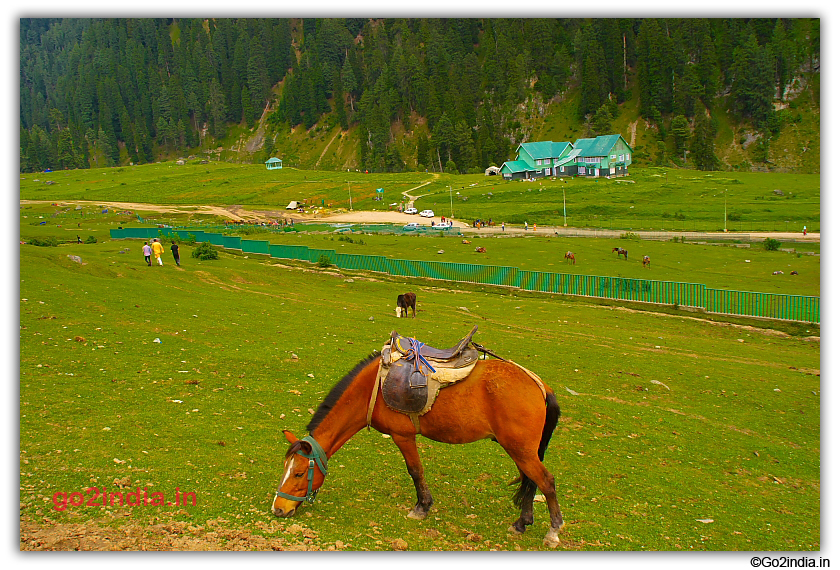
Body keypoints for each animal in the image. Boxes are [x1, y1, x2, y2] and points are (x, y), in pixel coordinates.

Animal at [272, 348, 564, 544]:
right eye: (284, 469)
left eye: (299, 473)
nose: (278, 509)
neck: (372, 389)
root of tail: (539, 384)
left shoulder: (403, 436)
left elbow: (415, 471)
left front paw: (421, 507)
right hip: (522, 450)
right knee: (532, 481)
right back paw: (522, 523)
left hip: (521, 450)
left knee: (546, 481)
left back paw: (552, 531)